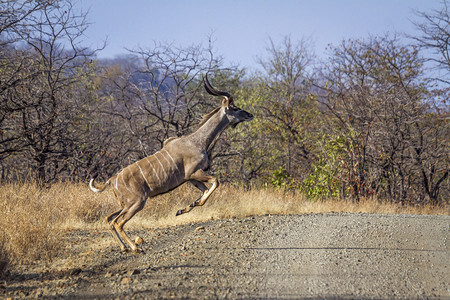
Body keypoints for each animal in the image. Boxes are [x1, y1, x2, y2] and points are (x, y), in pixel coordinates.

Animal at [88, 74, 253, 252]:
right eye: (235, 108)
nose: (250, 115)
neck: (197, 141)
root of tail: (112, 180)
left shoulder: (191, 178)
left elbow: (204, 192)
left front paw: (182, 209)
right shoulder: (195, 173)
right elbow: (215, 183)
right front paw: (188, 206)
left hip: (126, 204)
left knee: (109, 218)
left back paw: (124, 247)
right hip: (137, 202)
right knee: (118, 222)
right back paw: (135, 248)